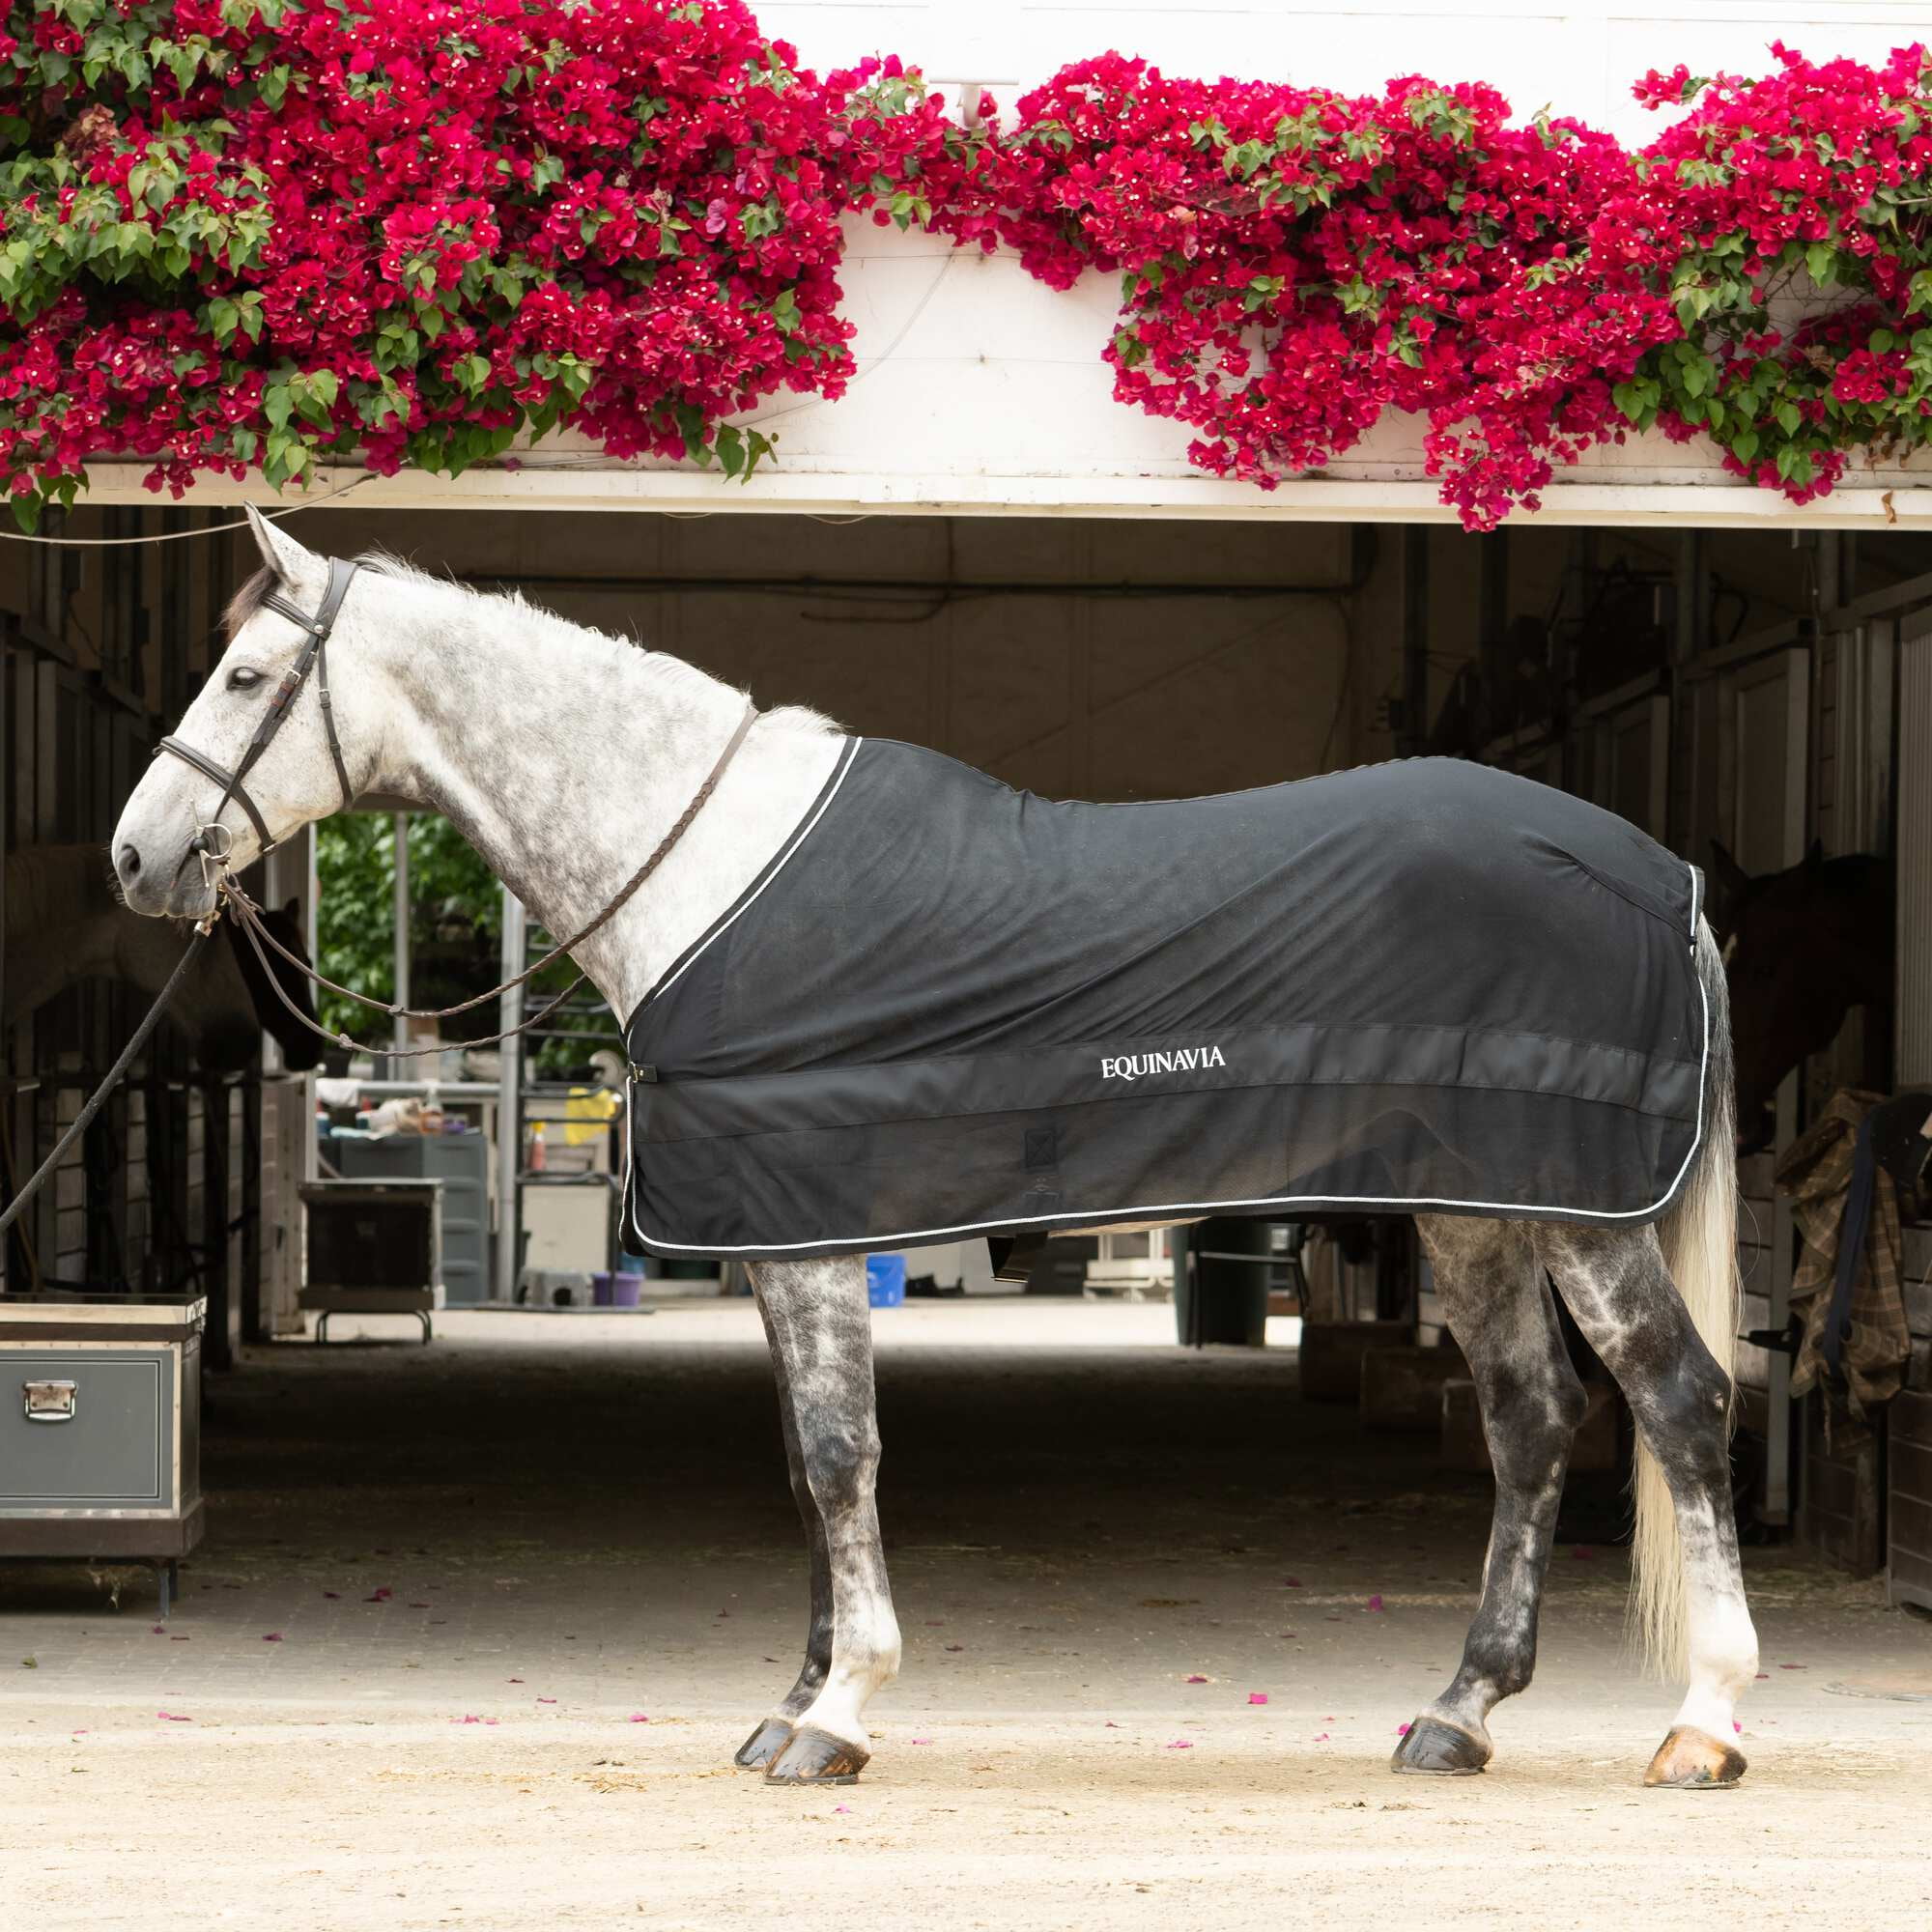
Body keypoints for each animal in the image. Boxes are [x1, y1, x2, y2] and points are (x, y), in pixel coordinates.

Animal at [109, 508, 1758, 1792]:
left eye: (246, 674)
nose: (135, 856)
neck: (705, 864)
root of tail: (1661, 874)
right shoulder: (780, 1239)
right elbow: (804, 1462)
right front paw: (790, 1706)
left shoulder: (813, 1231)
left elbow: (843, 1458)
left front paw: (839, 1714)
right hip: (1482, 1206)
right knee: (1532, 1424)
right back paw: (1458, 1714)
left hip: (1585, 1216)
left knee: (1680, 1405)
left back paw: (1707, 1724)